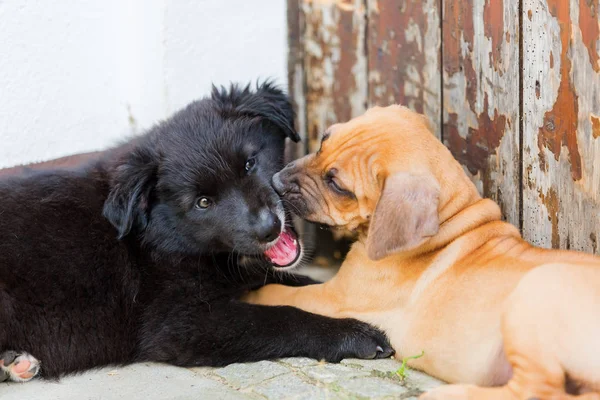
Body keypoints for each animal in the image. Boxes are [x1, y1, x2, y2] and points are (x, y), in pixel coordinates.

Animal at [0, 81, 394, 382]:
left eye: (249, 163)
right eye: (203, 203)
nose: (269, 228)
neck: (168, 240)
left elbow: (302, 283)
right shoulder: (180, 323)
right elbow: (281, 317)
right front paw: (354, 334)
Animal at [244, 106, 600, 400]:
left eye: (338, 186)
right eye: (322, 142)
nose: (276, 182)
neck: (449, 223)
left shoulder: (335, 296)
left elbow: (282, 294)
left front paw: (250, 297)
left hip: (535, 293)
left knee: (539, 389)